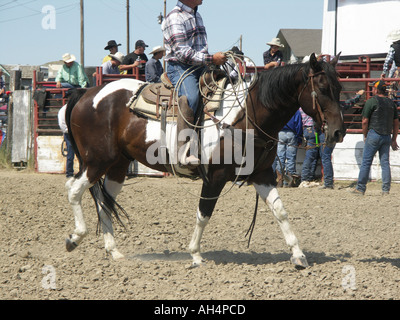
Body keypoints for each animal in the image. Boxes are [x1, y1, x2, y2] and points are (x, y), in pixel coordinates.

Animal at [64, 53, 342, 268]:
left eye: (339, 89)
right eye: (323, 89)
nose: (338, 132)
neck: (244, 117)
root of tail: (87, 93)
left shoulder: (263, 175)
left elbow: (280, 211)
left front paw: (299, 256)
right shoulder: (214, 177)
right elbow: (204, 214)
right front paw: (196, 255)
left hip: (118, 166)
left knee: (104, 204)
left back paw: (114, 251)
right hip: (96, 161)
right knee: (74, 190)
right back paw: (75, 238)